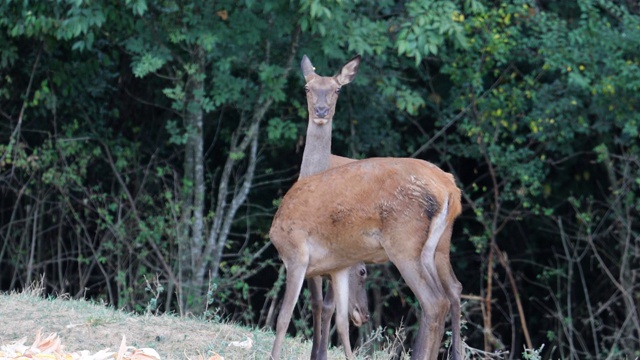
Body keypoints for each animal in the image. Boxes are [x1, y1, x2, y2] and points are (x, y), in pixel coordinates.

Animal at [268, 54, 462, 358]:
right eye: (307, 88)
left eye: (337, 90)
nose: (321, 110)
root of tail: (450, 189)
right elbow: (322, 307)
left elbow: (316, 309)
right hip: (437, 246)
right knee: (452, 290)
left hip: (404, 245)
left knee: (433, 301)